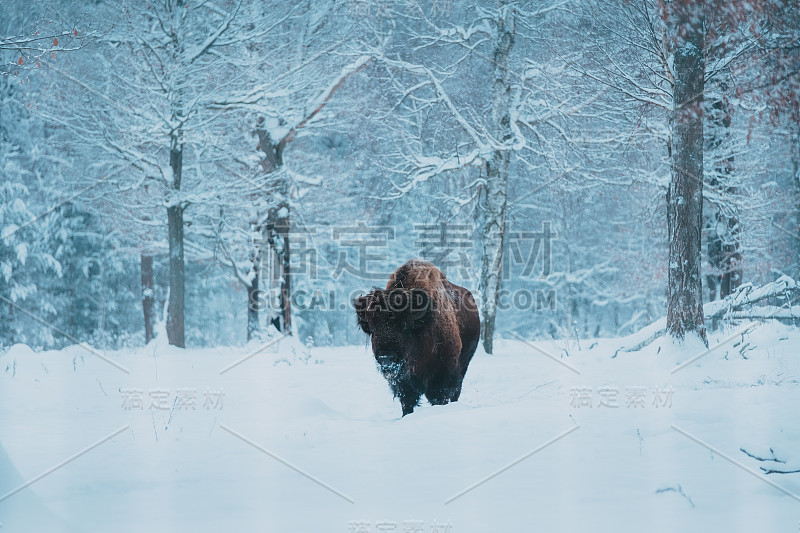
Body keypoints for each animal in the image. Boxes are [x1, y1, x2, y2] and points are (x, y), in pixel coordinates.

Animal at [354, 258, 478, 416]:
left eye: (404, 326)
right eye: (373, 329)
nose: (386, 358)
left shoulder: (442, 377)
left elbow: (439, 396)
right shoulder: (403, 383)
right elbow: (407, 402)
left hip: (463, 365)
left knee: (456, 390)